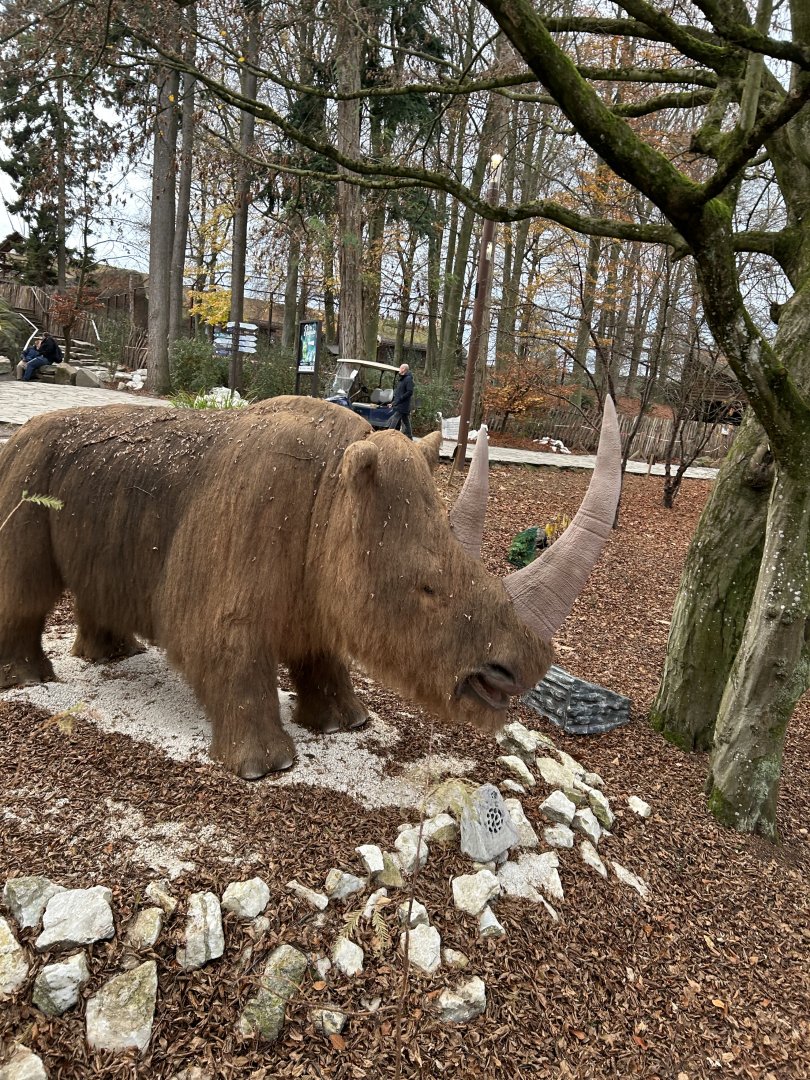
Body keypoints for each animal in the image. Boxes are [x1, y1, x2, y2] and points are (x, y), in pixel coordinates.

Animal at [0, 395, 620, 778]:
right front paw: (266, 767)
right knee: (25, 588)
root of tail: (18, 433)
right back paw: (30, 681)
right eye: (426, 589)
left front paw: (349, 723)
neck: (333, 494)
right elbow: (230, 649)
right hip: (26, 468)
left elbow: (322, 654)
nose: (526, 668)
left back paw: (112, 657)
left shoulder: (323, 588)